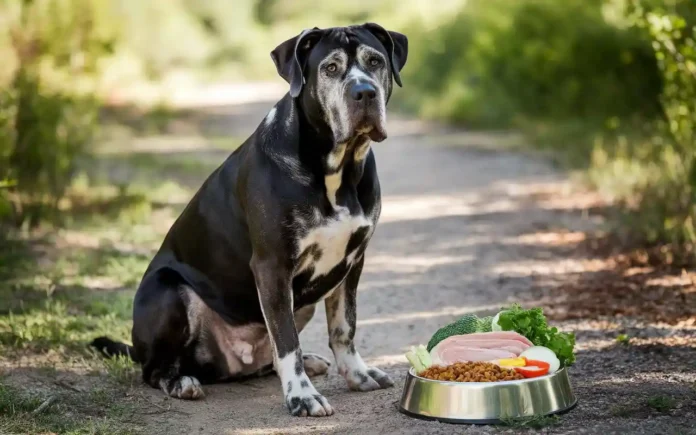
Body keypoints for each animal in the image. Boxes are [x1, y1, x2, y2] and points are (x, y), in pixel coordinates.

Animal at [92, 22, 408, 418]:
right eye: (331, 68)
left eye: (375, 61)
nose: (364, 92)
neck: (338, 168)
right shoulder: (273, 266)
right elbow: (286, 342)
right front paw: (302, 396)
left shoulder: (351, 262)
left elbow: (343, 326)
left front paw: (358, 374)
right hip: (168, 291)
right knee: (153, 369)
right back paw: (180, 381)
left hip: (301, 302)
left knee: (268, 357)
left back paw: (309, 361)